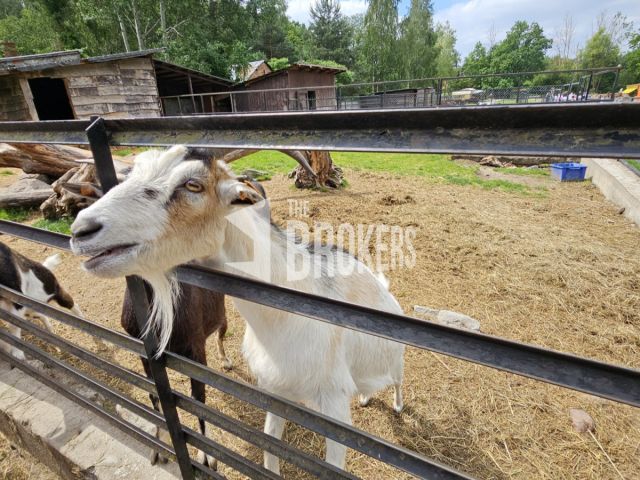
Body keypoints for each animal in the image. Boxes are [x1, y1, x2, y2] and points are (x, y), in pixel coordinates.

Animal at [70, 147, 404, 472]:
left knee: (397, 379)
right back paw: (365, 396)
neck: (284, 319)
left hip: (395, 357)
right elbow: (270, 450)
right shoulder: (274, 390)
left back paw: (398, 405)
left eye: (193, 185)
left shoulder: (334, 405)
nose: (82, 230)